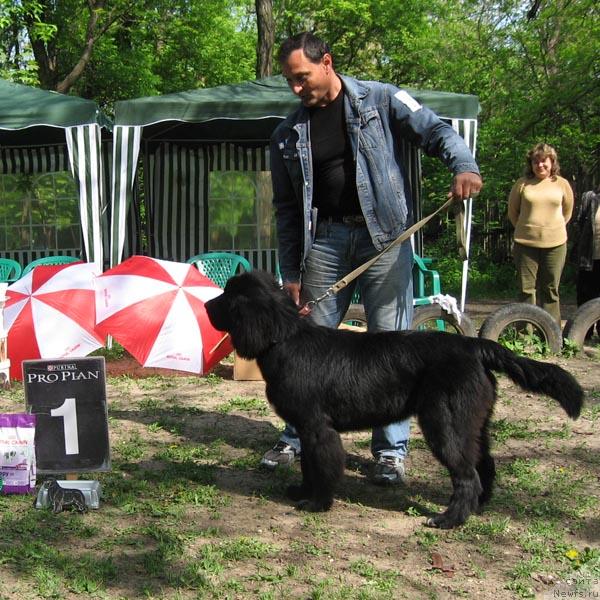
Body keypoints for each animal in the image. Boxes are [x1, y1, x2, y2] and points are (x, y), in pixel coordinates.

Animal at [204, 270, 584, 528]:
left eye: (228, 297)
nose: (207, 304)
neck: (284, 338)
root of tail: (474, 345)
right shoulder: (306, 427)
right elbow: (309, 465)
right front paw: (301, 491)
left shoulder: (316, 427)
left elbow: (322, 466)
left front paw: (317, 503)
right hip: (472, 424)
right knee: (484, 464)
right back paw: (476, 508)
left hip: (444, 424)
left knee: (467, 474)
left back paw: (448, 519)